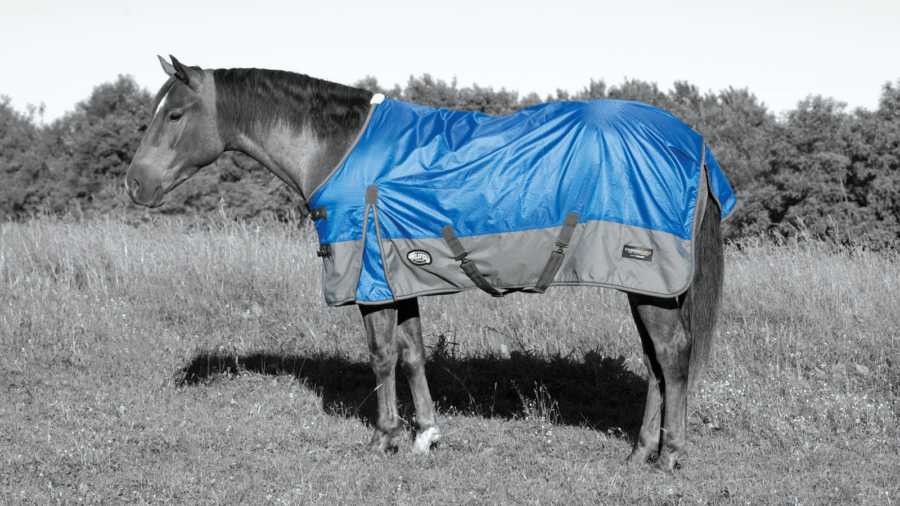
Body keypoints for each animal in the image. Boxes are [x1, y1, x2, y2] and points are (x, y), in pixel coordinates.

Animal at [126, 55, 731, 475]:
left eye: (175, 114)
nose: (135, 185)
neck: (340, 151)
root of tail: (694, 145)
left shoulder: (370, 282)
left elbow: (381, 357)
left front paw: (384, 438)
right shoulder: (402, 276)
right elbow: (414, 354)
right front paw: (426, 435)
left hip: (649, 282)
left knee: (672, 356)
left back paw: (669, 456)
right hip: (652, 287)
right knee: (656, 363)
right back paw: (640, 452)